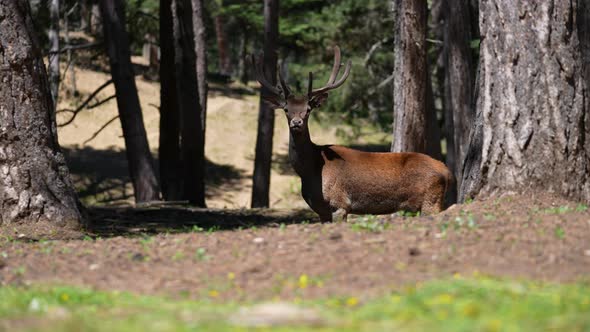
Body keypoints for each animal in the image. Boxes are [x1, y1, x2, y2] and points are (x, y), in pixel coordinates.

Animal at [251, 46, 454, 222]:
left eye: (308, 109)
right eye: (286, 109)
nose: (296, 122)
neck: (310, 171)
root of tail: (447, 171)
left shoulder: (339, 204)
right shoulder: (321, 210)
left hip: (431, 201)